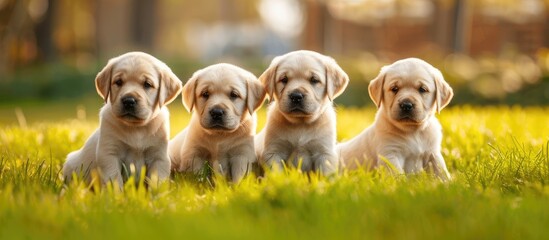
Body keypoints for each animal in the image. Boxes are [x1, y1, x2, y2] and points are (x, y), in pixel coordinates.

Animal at [61, 51, 182, 187]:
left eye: (147, 84)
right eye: (118, 82)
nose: (128, 101)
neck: (136, 127)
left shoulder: (159, 157)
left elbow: (157, 181)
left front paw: (157, 192)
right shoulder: (109, 154)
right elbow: (114, 180)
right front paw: (116, 193)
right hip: (72, 164)